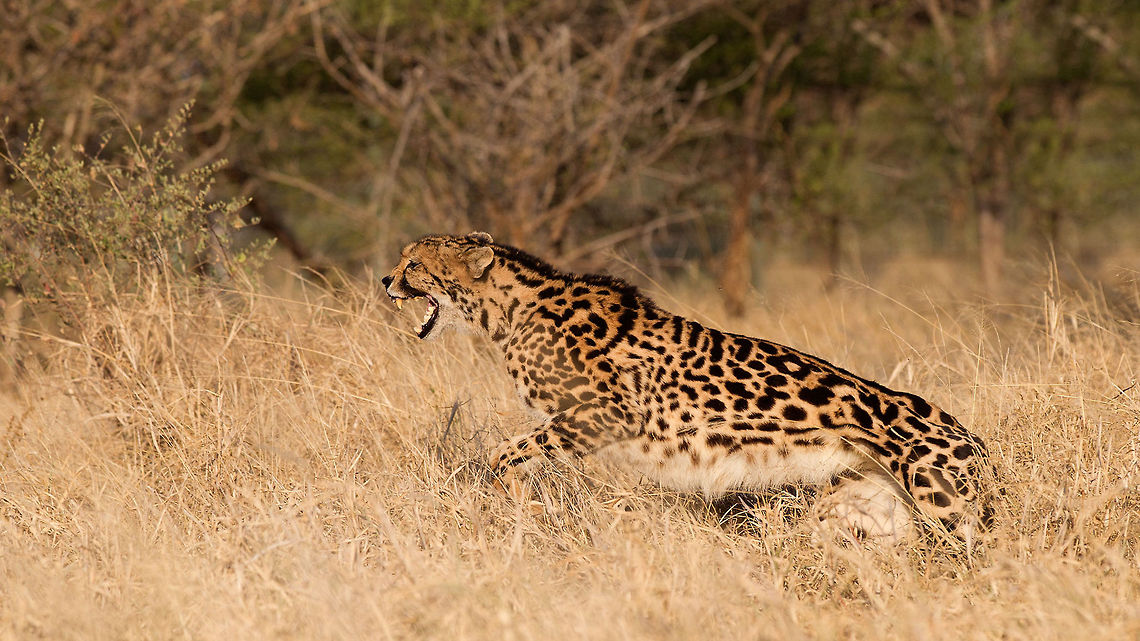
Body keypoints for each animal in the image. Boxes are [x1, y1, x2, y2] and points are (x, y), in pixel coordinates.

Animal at [382, 231, 995, 543]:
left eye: (414, 264)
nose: (386, 280)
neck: (510, 310)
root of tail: (968, 434)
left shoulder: (612, 412)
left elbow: (509, 451)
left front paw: (507, 494)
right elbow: (520, 452)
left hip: (940, 502)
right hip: (863, 509)